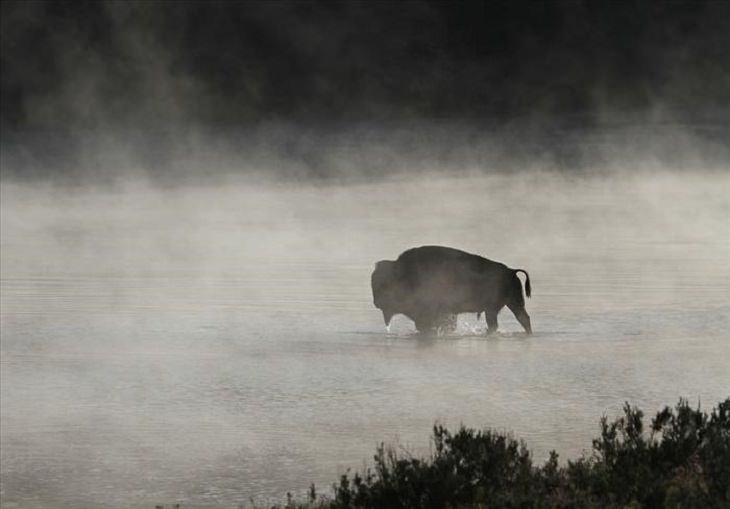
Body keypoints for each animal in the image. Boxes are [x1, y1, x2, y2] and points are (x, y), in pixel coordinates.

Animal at [370, 245, 528, 334]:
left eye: (382, 285)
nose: (376, 302)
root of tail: (511, 271)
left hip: (495, 309)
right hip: (512, 304)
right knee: (523, 319)